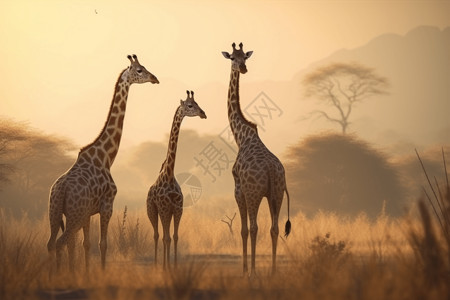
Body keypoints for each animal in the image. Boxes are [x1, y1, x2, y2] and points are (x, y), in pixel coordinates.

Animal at [46, 54, 159, 272]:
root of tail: (61, 190)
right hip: (73, 214)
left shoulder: (88, 213)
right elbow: (102, 243)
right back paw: (59, 275)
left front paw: (85, 274)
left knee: (52, 243)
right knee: (61, 242)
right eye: (139, 69)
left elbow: (86, 244)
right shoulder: (107, 205)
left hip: (55, 212)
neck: (106, 157)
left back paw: (53, 276)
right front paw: (102, 273)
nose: (155, 78)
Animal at [146, 91, 206, 270]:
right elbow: (166, 237)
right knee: (156, 235)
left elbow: (175, 236)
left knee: (163, 235)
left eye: (197, 103)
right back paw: (157, 264)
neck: (169, 174)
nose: (203, 113)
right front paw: (166, 267)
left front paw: (174, 266)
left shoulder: (177, 209)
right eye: (190, 105)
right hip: (151, 210)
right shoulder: (164, 208)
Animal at [221, 42, 292, 276]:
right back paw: (273, 270)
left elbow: (244, 229)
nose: (243, 68)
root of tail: (271, 171)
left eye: (245, 57)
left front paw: (245, 269)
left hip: (255, 194)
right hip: (276, 193)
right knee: (275, 228)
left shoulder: (239, 189)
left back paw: (253, 270)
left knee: (254, 227)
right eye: (233, 57)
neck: (241, 136)